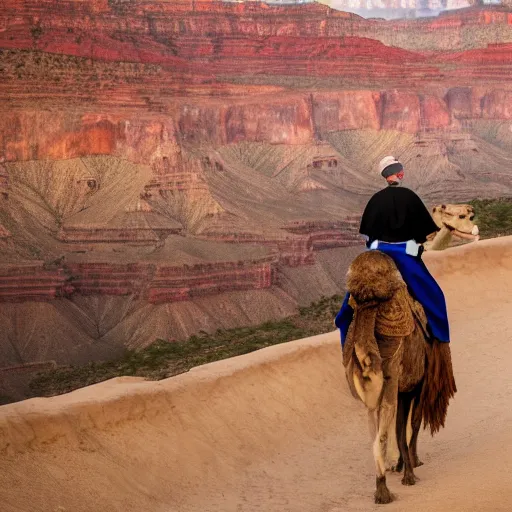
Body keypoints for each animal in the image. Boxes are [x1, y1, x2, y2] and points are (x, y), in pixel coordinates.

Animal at [344, 202, 480, 502]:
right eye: (461, 215)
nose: (474, 222)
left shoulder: (404, 384)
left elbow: (401, 424)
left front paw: (400, 463)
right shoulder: (421, 377)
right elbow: (413, 422)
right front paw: (411, 464)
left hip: (364, 376)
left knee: (374, 429)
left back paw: (384, 480)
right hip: (390, 371)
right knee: (384, 429)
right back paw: (385, 489)